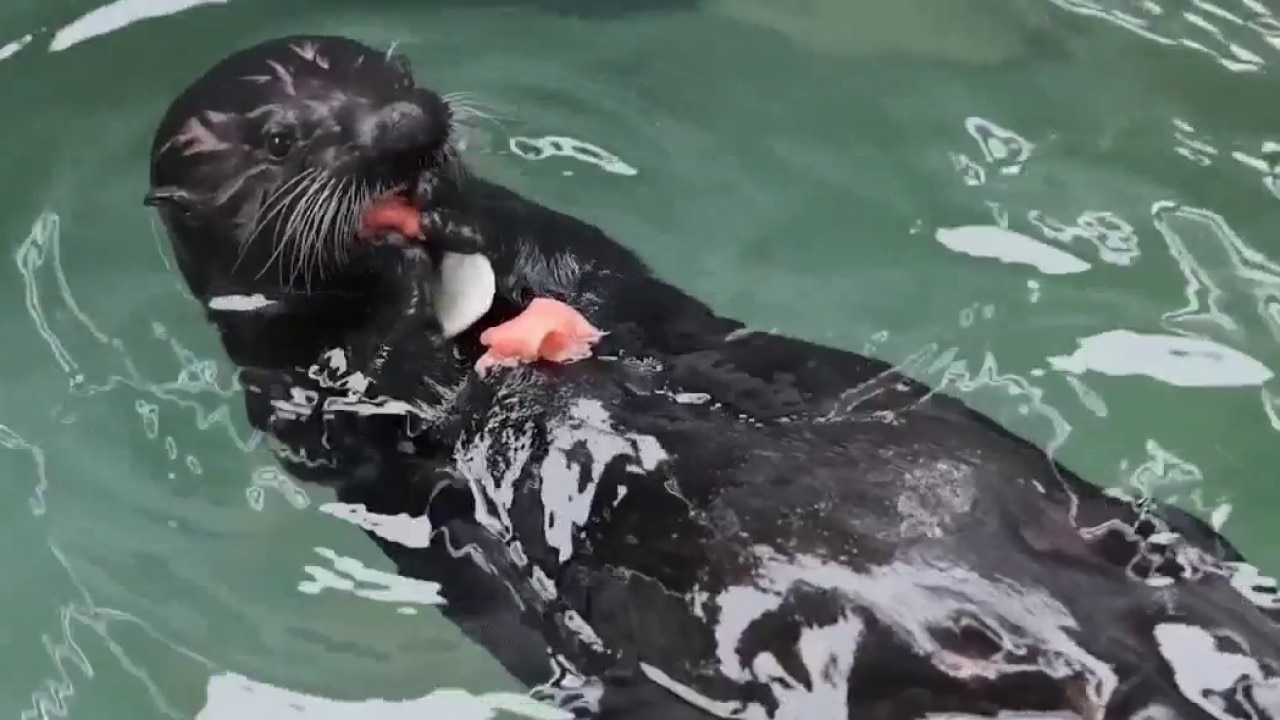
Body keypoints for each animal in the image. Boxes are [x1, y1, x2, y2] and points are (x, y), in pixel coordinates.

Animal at [145, 34, 1280, 719]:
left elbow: (587, 277)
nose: (410, 130)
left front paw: (463, 230)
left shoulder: (579, 258)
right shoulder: (308, 393)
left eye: (394, 70)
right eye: (285, 136)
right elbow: (390, 392)